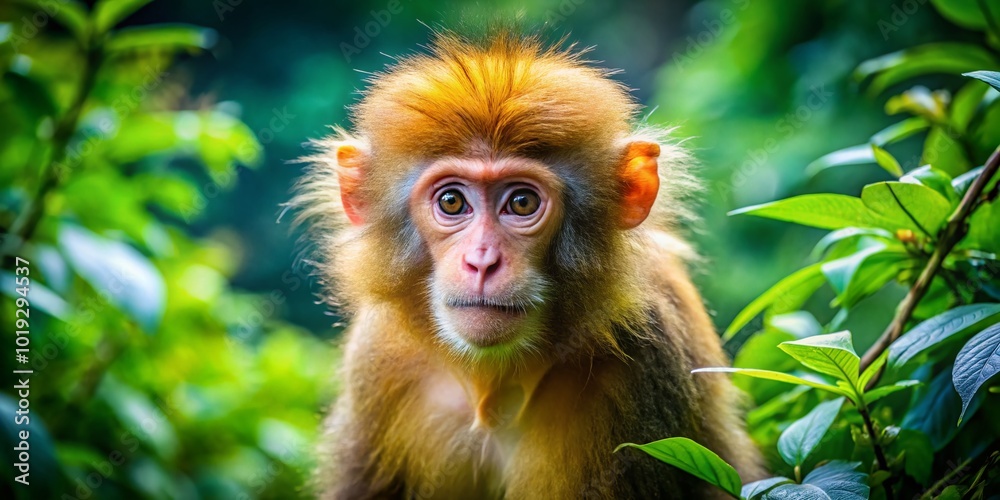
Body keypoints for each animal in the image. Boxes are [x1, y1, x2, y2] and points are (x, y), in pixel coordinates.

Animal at [293, 28, 764, 499]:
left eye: (522, 202)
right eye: (452, 201)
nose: (482, 262)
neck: (494, 386)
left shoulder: (645, 363)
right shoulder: (377, 356)